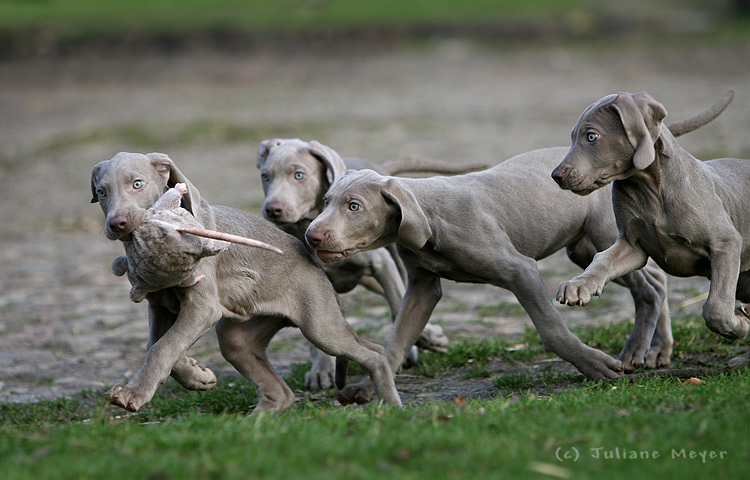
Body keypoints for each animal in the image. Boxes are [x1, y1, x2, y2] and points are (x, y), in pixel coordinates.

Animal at [92, 152, 406, 410]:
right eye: (101, 192)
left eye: (137, 184)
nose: (117, 223)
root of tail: (315, 263)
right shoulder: (159, 305)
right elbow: (156, 344)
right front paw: (197, 376)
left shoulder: (202, 307)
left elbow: (163, 347)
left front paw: (133, 394)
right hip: (240, 338)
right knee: (279, 392)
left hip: (320, 324)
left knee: (374, 353)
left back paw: (390, 405)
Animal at [302, 95, 732, 404]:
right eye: (325, 201)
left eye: (354, 206)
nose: (311, 236)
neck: (430, 215)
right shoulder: (423, 285)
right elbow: (396, 339)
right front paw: (370, 387)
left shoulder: (518, 269)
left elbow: (551, 329)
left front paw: (594, 366)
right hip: (583, 249)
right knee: (648, 283)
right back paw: (652, 350)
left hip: (607, 233)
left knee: (654, 283)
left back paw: (644, 351)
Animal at [552, 90, 750, 368]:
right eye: (573, 137)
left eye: (591, 136)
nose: (555, 175)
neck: (649, 189)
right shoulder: (632, 245)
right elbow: (602, 260)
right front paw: (580, 284)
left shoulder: (726, 243)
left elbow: (716, 308)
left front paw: (739, 325)